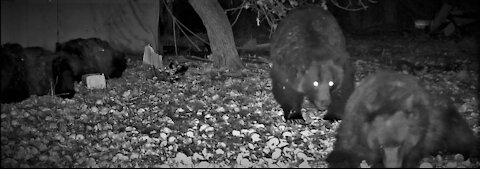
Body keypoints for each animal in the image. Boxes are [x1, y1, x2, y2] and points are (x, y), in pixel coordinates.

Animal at [326, 71, 476, 168]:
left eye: (401, 144)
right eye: (381, 146)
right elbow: (344, 153)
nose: (393, 166)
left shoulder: (425, 130)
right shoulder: (353, 130)